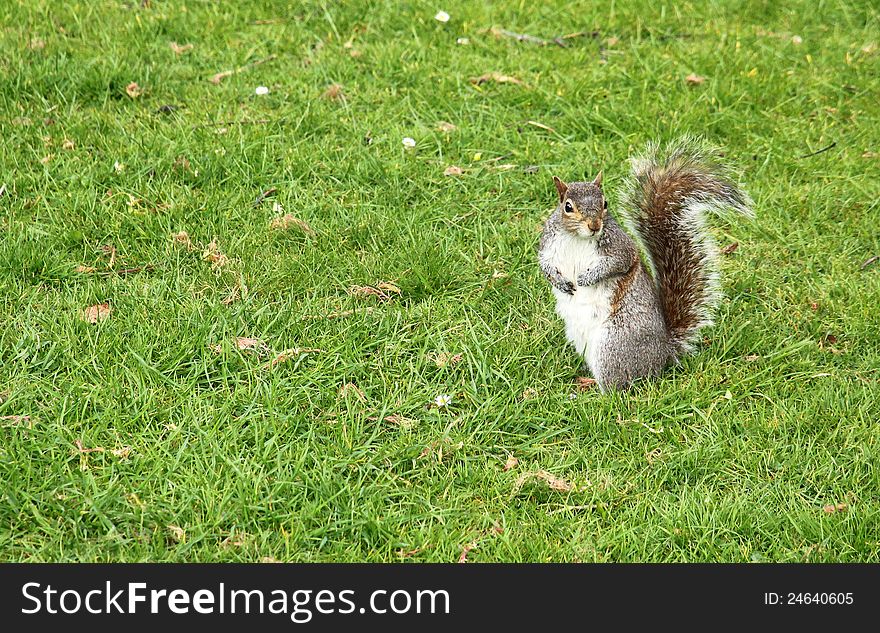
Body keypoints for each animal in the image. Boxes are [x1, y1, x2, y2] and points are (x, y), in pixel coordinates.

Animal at [540, 136, 752, 388]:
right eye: (568, 207)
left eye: (605, 203)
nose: (594, 225)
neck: (577, 238)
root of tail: (664, 353)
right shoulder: (548, 246)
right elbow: (544, 266)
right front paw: (560, 282)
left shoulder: (621, 248)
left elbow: (618, 263)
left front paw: (587, 277)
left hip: (614, 345)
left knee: (618, 385)